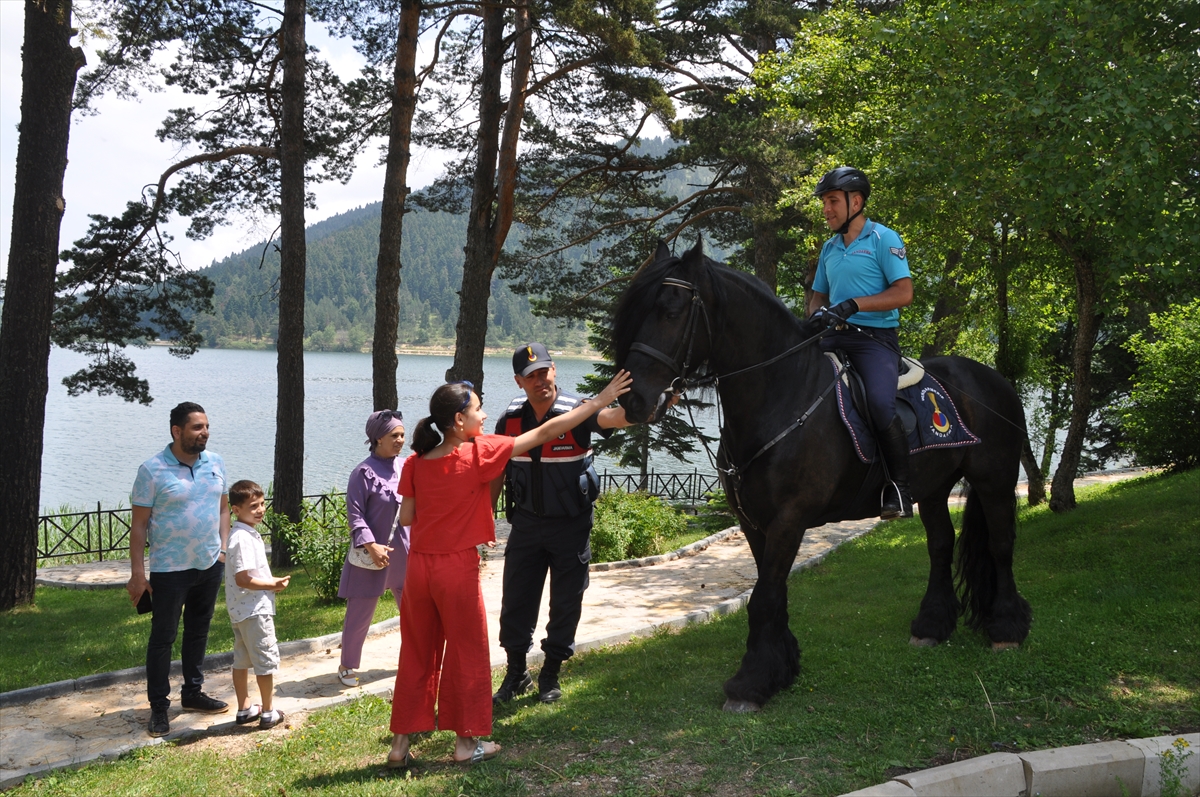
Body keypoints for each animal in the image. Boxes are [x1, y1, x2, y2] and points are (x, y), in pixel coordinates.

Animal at [619, 240, 1032, 710]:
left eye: (671, 310)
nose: (633, 400)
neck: (782, 393)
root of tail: (993, 377)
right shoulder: (754, 521)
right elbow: (772, 592)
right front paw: (781, 667)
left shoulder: (789, 519)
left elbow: (764, 597)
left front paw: (751, 683)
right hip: (932, 488)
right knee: (941, 544)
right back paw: (931, 626)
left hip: (994, 480)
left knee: (1000, 545)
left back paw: (1006, 628)